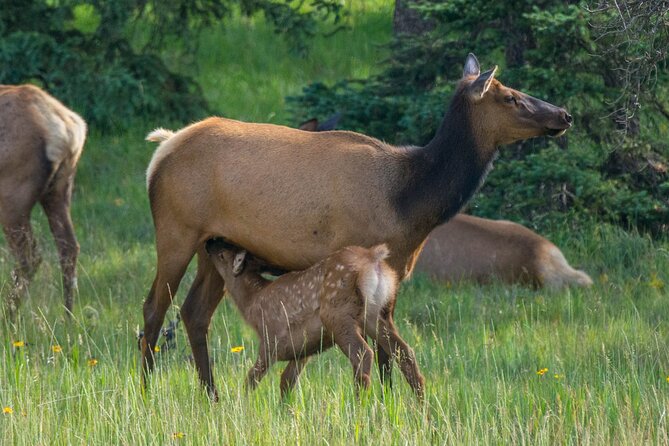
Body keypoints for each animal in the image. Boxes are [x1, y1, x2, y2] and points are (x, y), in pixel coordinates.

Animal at [0, 84, 86, 318]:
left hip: (12, 198)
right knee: (68, 246)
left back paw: (8, 316)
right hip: (59, 190)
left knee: (30, 258)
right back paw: (68, 319)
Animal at [204, 239, 422, 398]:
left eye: (223, 254)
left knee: (363, 353)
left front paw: (240, 404)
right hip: (376, 314)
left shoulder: (270, 339)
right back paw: (421, 408)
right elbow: (286, 381)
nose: (210, 242)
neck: (251, 301)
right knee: (405, 352)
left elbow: (251, 379)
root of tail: (373, 258)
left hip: (337, 313)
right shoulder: (303, 348)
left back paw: (361, 406)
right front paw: (285, 413)